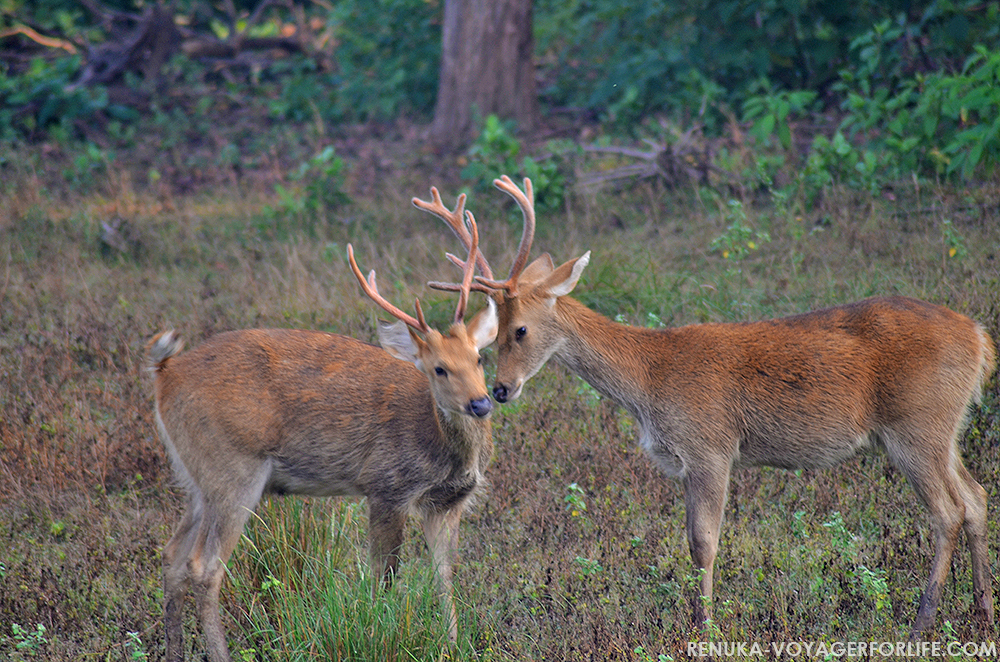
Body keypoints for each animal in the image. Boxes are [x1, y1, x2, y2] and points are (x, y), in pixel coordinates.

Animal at [146, 215, 498, 660]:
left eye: (479, 357)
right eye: (438, 368)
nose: (481, 403)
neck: (443, 449)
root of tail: (164, 372)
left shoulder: (446, 502)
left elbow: (444, 577)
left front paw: (452, 646)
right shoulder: (386, 486)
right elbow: (385, 575)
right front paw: (380, 635)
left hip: (195, 478)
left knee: (171, 555)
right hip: (232, 467)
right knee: (204, 566)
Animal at [414, 176, 992, 640]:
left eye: (518, 330)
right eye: (491, 334)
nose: (501, 390)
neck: (649, 380)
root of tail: (980, 338)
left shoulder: (710, 446)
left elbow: (704, 543)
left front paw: (705, 628)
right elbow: (691, 542)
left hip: (915, 425)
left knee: (948, 510)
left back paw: (921, 623)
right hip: (945, 429)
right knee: (977, 497)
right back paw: (983, 612)